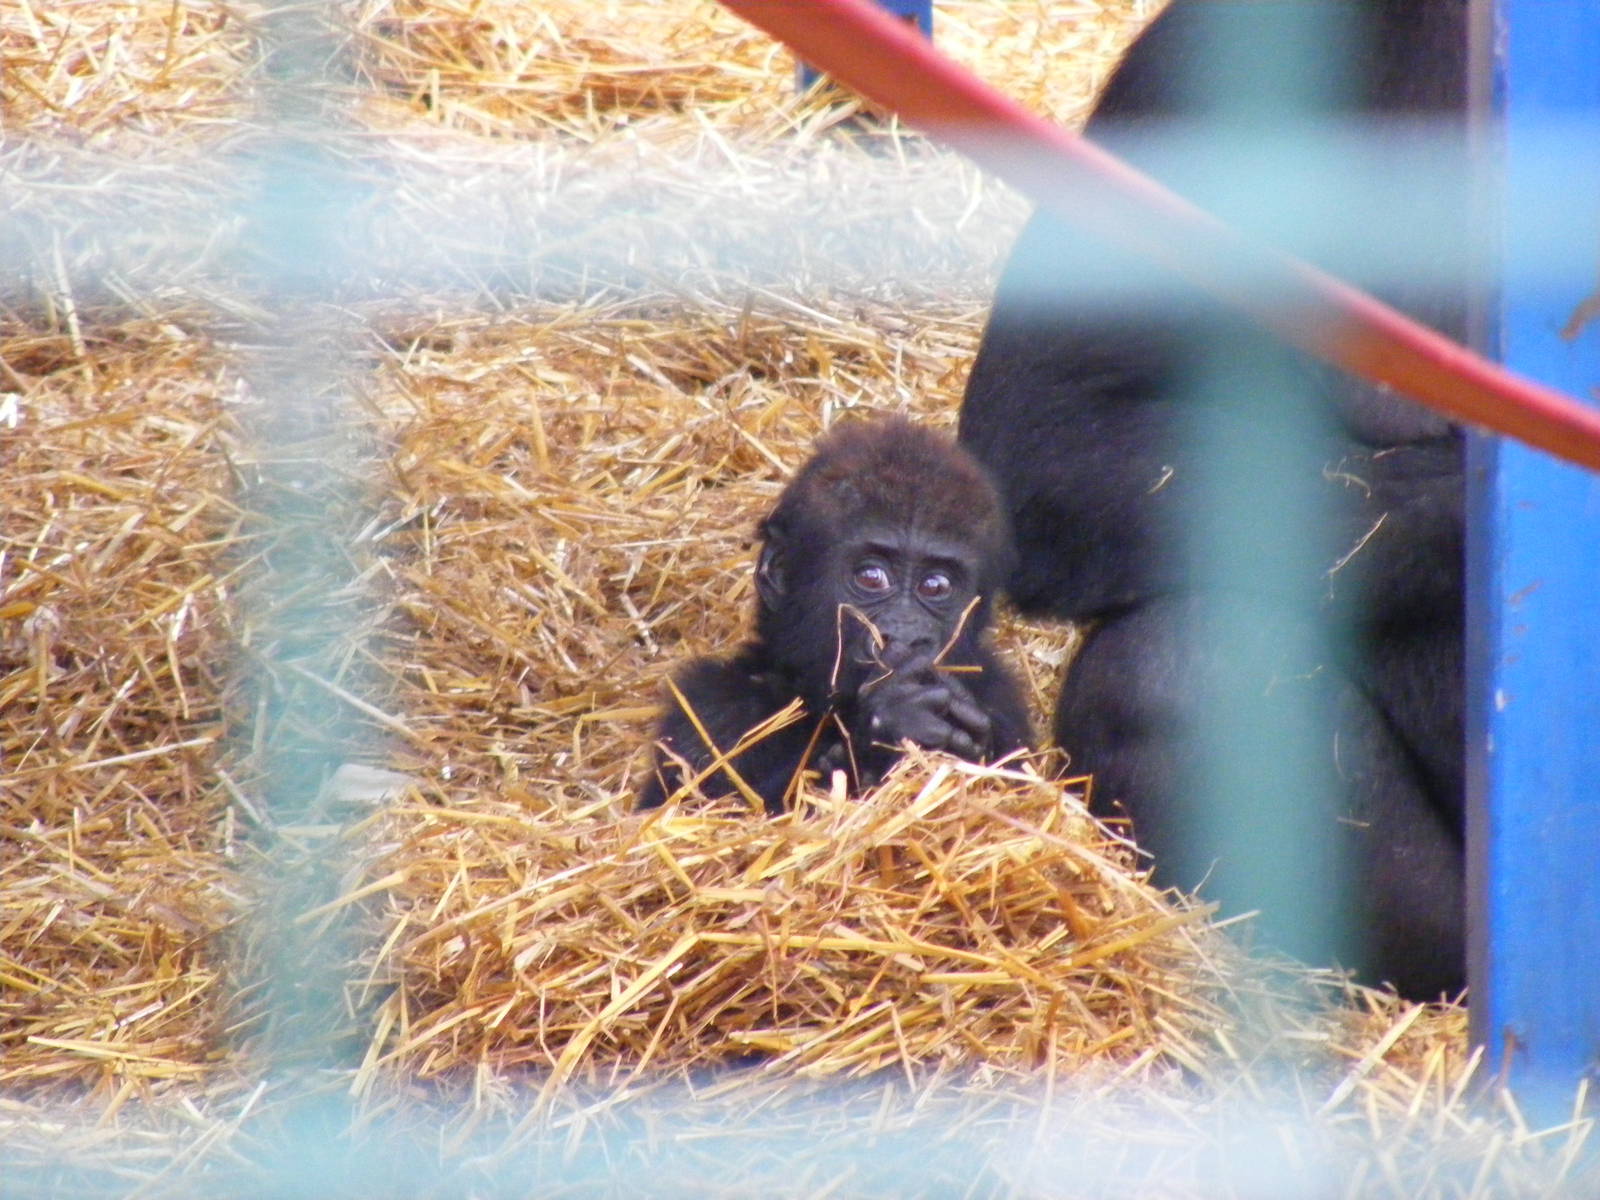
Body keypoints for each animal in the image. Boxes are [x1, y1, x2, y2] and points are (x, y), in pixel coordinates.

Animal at [640, 416, 1032, 814]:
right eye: (871, 577)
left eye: (935, 585)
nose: (906, 634)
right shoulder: (706, 703)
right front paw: (892, 721)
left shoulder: (1002, 697)